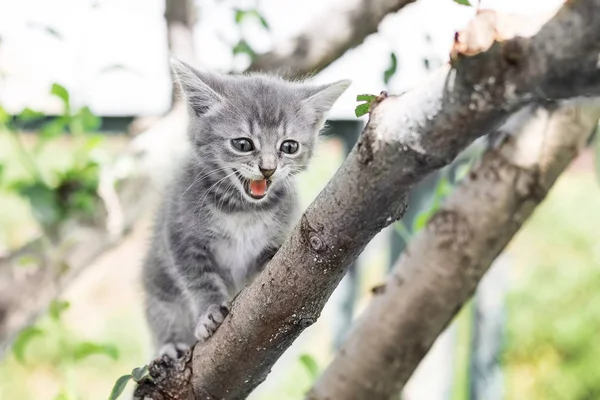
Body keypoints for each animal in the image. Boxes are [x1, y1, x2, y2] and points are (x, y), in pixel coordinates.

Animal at [142, 61, 350, 358]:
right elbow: (198, 279)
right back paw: (170, 345)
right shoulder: (180, 235)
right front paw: (208, 312)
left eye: (289, 146)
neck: (242, 209)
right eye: (243, 144)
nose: (268, 168)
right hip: (159, 290)